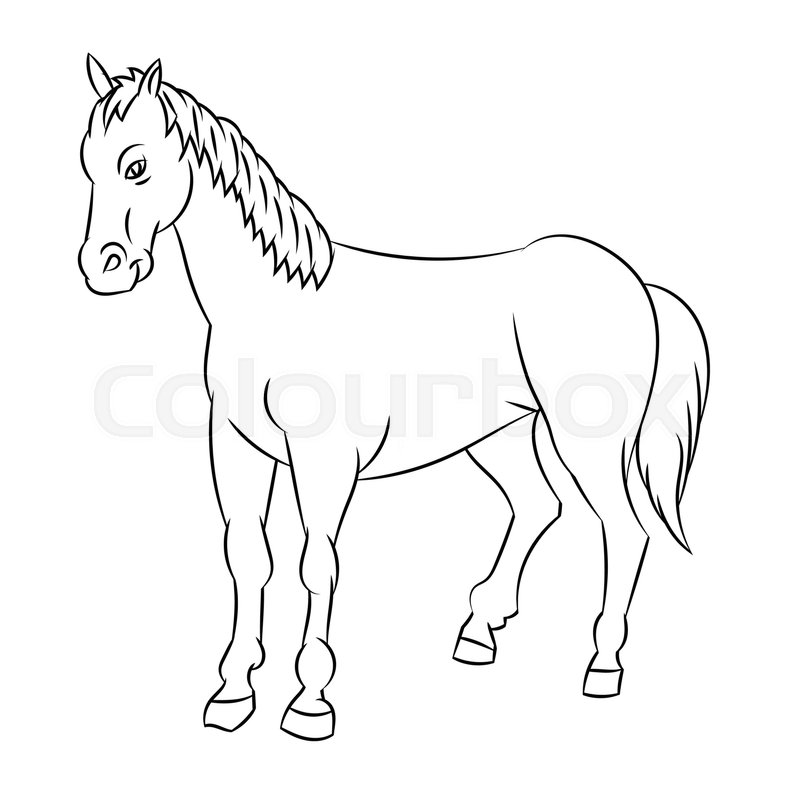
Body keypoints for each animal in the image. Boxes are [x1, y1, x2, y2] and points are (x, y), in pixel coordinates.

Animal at [78, 56, 709, 741]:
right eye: (88, 165)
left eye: (137, 166)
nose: (103, 268)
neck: (282, 305)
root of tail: (637, 284)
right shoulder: (240, 449)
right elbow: (248, 557)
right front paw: (232, 693)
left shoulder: (325, 461)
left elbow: (315, 565)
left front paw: (309, 700)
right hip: (504, 436)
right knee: (539, 507)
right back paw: (478, 630)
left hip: (587, 440)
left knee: (624, 529)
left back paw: (602, 665)